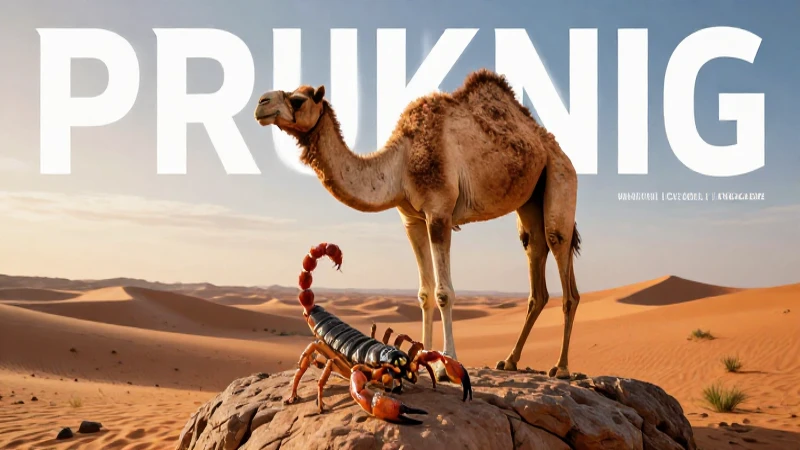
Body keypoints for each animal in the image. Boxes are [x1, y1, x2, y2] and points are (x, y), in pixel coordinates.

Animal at [254, 69, 582, 379]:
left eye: (298, 99)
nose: (261, 104)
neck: (401, 163)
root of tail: (553, 147)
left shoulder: (439, 212)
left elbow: (443, 293)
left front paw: (446, 365)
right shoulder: (412, 220)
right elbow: (424, 294)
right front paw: (423, 359)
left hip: (561, 176)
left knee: (562, 260)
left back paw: (561, 367)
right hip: (530, 201)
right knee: (536, 262)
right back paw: (510, 361)